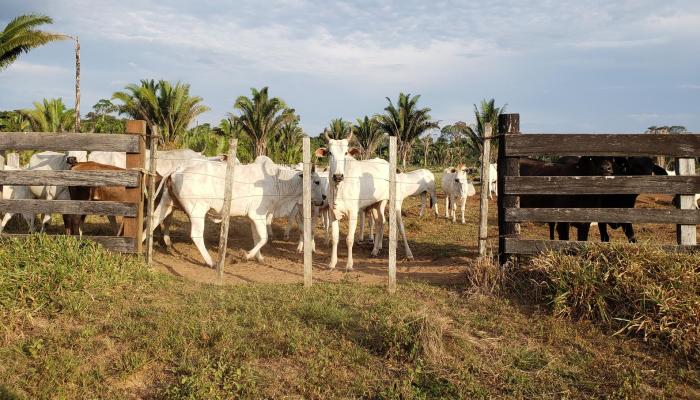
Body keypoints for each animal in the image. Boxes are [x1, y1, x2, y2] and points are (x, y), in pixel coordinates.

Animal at [147, 156, 326, 268]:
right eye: (316, 181)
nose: (323, 198)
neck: (278, 182)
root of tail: (180, 168)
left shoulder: (254, 218)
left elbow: (257, 238)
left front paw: (259, 258)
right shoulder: (258, 215)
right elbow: (264, 238)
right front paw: (246, 256)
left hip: (167, 203)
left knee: (153, 220)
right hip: (197, 210)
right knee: (196, 236)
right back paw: (212, 262)